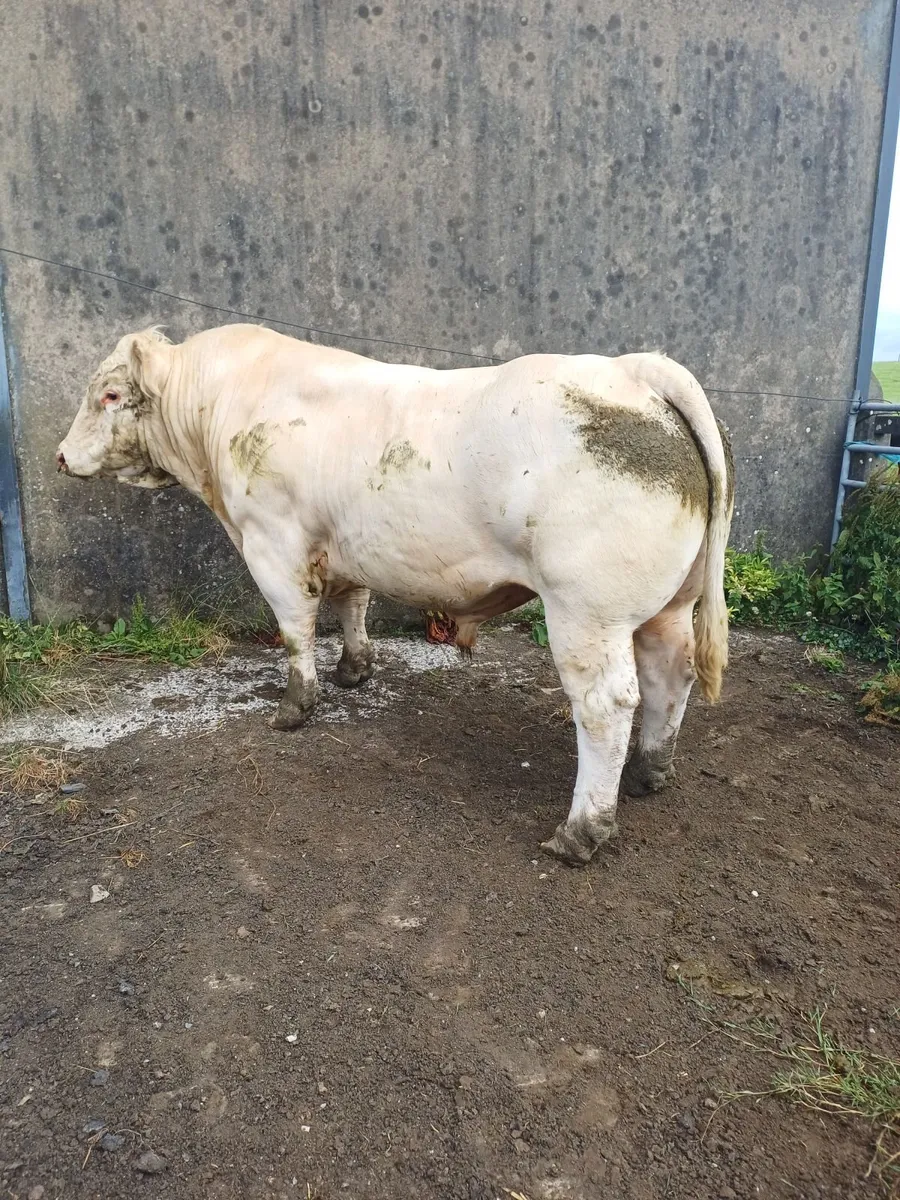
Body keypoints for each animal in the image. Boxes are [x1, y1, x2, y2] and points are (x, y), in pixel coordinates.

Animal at [57, 324, 733, 866]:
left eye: (109, 395)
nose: (61, 456)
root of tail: (634, 369)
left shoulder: (273, 542)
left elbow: (295, 628)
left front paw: (294, 706)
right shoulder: (345, 545)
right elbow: (353, 605)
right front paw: (354, 669)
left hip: (586, 610)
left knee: (605, 705)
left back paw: (582, 831)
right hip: (670, 604)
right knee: (670, 675)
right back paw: (649, 771)